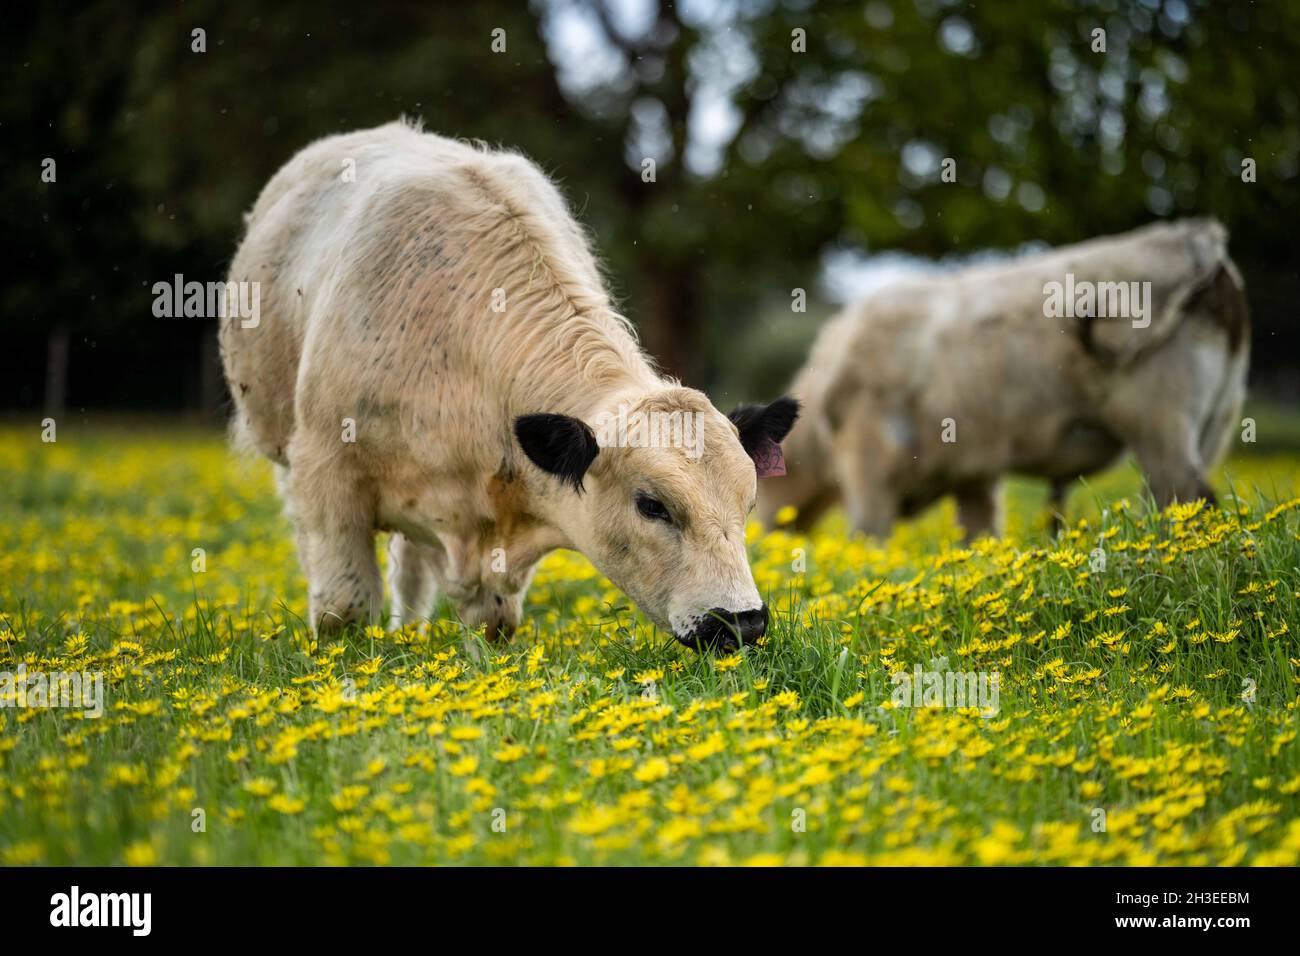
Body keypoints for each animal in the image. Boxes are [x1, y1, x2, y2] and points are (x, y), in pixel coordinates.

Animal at [218, 121, 795, 650]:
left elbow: (492, 624)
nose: (743, 622)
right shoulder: (326, 474)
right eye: (652, 505)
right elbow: (344, 609)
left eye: (747, 503)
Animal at [759, 221, 1248, 541]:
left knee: (1184, 496)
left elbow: (870, 538)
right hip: (1215, 422)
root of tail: (1196, 239)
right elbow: (979, 538)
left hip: (1160, 424)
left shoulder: (868, 464)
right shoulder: (974, 473)